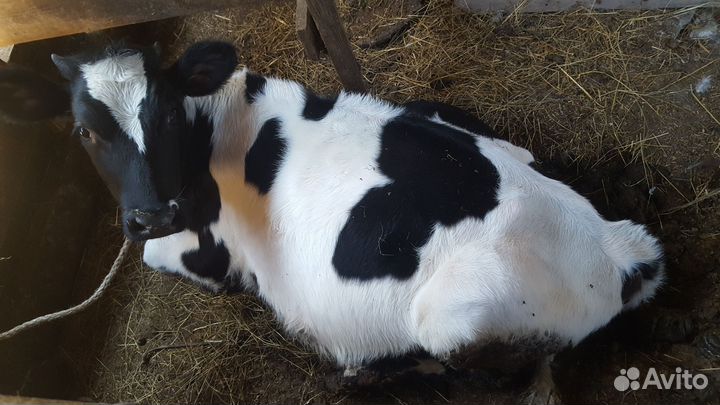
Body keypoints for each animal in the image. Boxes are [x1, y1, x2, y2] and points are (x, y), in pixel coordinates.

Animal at [0, 41, 664, 403]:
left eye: (162, 112)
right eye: (84, 130)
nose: (150, 214)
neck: (219, 123)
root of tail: (618, 251)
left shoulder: (206, 254)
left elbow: (155, 258)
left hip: (457, 317)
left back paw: (356, 372)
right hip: (449, 117)